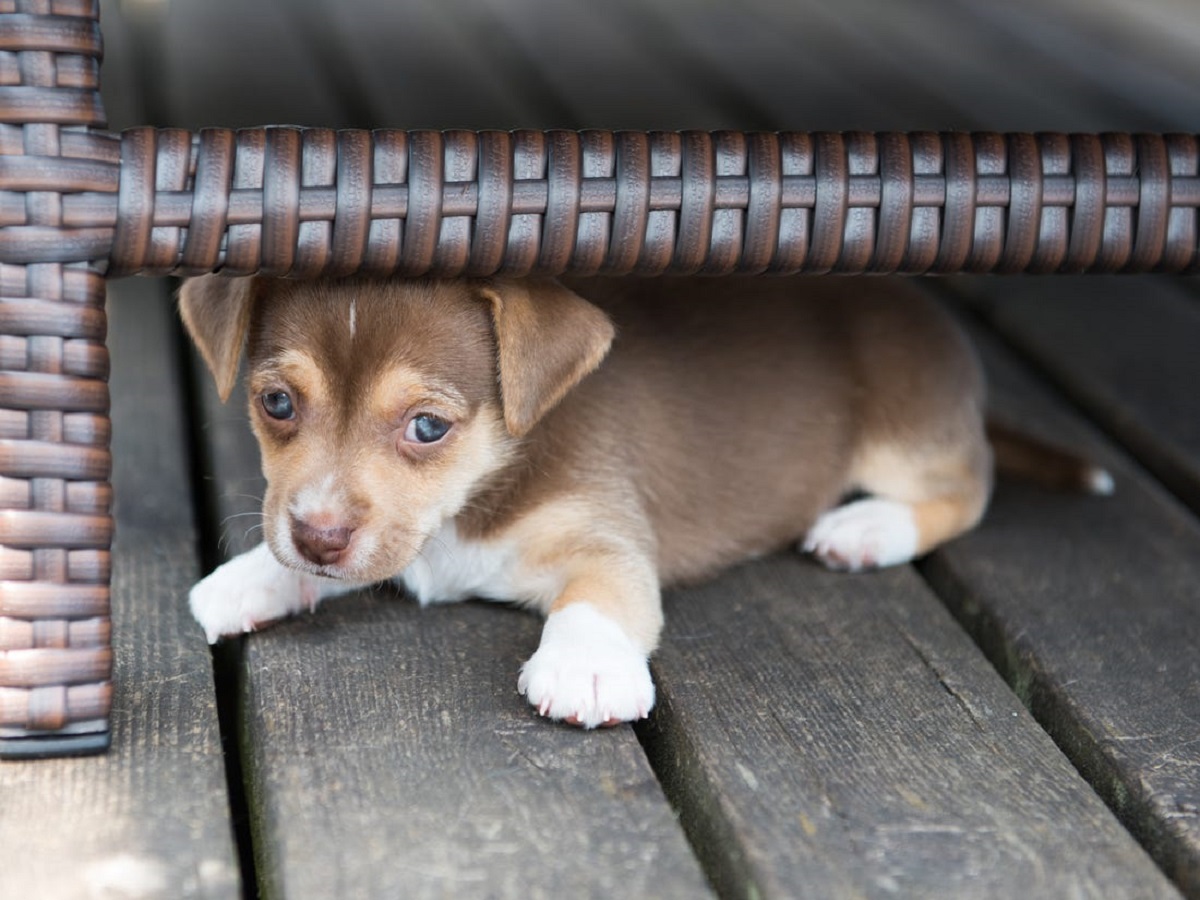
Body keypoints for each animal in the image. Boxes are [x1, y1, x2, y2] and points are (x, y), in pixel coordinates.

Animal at [182, 278, 998, 729]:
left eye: (428, 427)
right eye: (277, 404)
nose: (317, 539)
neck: (475, 494)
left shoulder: (607, 535)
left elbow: (598, 595)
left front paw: (587, 666)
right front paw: (252, 577)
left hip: (905, 432)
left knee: (969, 489)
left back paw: (869, 526)